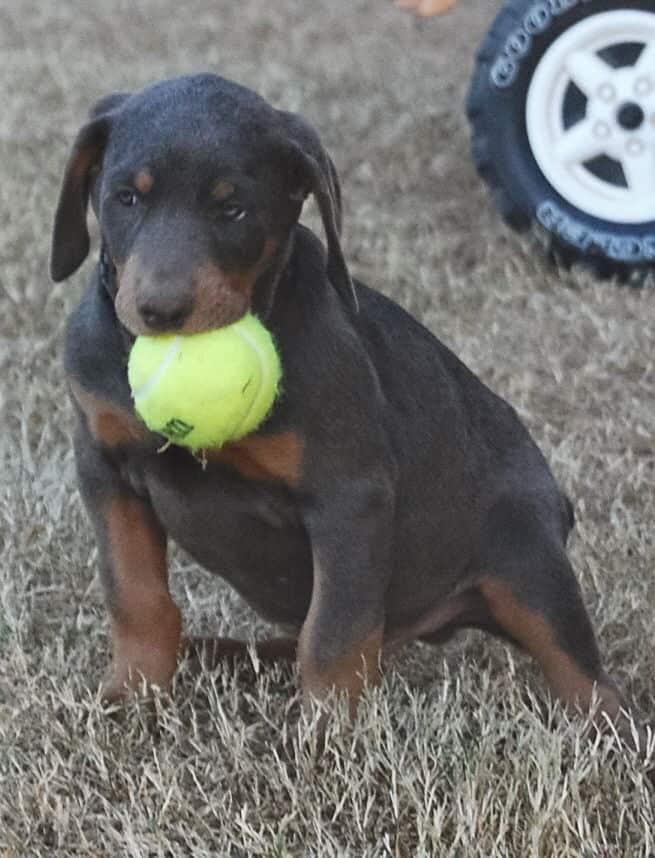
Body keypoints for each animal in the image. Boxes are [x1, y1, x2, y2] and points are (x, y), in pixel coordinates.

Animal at [52, 75, 636, 744]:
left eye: (233, 209)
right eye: (126, 197)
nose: (161, 311)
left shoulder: (349, 495)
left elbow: (333, 631)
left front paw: (327, 739)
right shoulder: (104, 466)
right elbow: (135, 594)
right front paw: (131, 697)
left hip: (526, 557)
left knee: (583, 675)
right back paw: (223, 653)